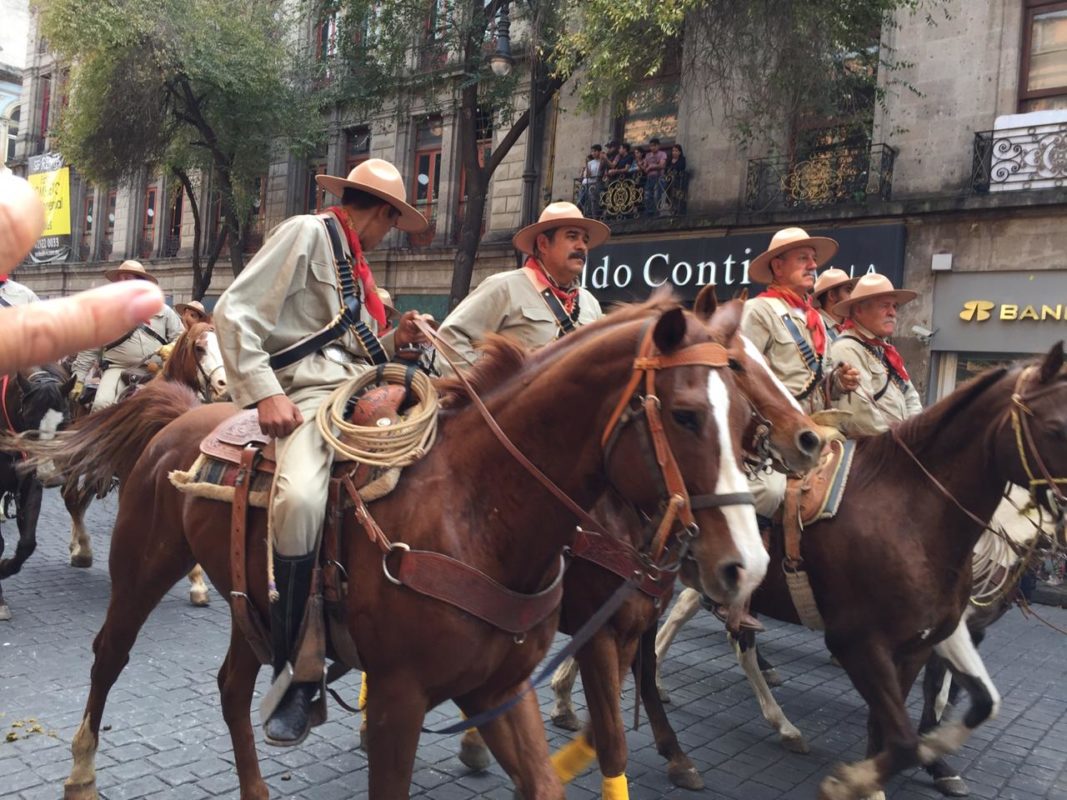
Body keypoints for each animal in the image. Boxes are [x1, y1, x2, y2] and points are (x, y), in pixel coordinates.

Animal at [50, 298, 768, 800]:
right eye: (684, 415)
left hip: (252, 599)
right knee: (108, 655)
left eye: (744, 422)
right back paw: (81, 771)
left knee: (231, 686)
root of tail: (182, 414)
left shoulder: (501, 686)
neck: (479, 509)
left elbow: (552, 775)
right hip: (142, 568)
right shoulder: (403, 698)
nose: (748, 566)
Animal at [454, 292, 827, 789]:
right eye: (735, 363)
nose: (810, 440)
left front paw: (674, 752)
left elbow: (643, 674)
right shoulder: (594, 617)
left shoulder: (644, 609)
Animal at [653, 345, 1067, 800]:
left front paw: (922, 765)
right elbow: (906, 718)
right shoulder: (860, 643)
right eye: (1057, 427)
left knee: (732, 639)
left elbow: (930, 707)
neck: (910, 515)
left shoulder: (926, 640)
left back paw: (781, 725)